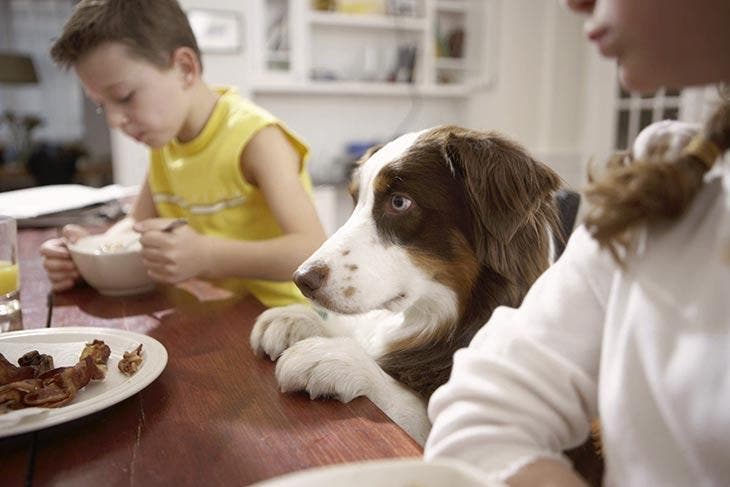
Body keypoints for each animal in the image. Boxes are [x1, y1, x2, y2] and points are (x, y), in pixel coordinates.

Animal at [247, 126, 560, 446]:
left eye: (399, 202)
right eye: (356, 201)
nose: (301, 279)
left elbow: (411, 405)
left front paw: (334, 357)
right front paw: (295, 318)